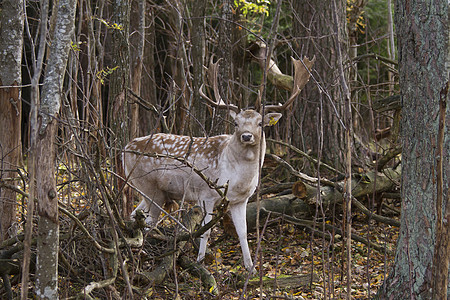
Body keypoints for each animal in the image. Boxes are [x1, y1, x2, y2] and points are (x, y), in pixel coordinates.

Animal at [121, 55, 314, 270]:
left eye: (260, 123)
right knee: (148, 222)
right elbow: (205, 231)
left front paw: (251, 267)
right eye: (236, 123)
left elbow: (243, 232)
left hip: (149, 190)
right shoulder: (206, 194)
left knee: (134, 215)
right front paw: (200, 261)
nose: (246, 136)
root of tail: (125, 147)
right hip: (150, 188)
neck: (237, 177)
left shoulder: (240, 200)